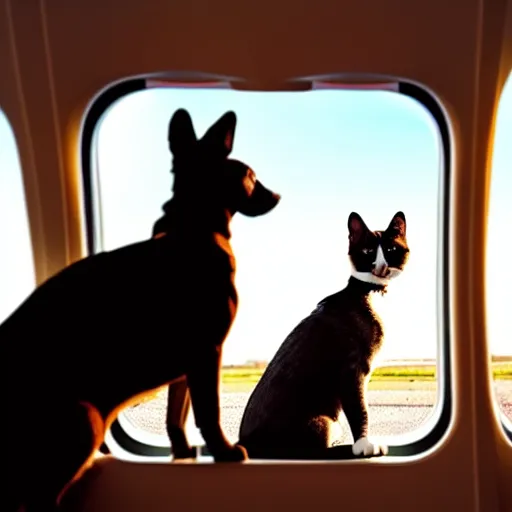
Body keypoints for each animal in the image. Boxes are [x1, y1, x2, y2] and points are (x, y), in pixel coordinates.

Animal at [3, 108, 280, 512]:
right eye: (250, 176)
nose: (276, 194)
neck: (193, 229)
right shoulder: (207, 353)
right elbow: (208, 411)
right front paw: (224, 450)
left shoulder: (187, 368)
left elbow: (176, 416)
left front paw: (183, 453)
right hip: (86, 421)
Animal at [238, 210, 410, 458]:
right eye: (368, 251)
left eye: (391, 249)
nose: (380, 266)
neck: (371, 291)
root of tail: (245, 443)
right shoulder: (352, 369)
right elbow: (361, 409)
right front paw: (364, 445)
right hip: (325, 423)